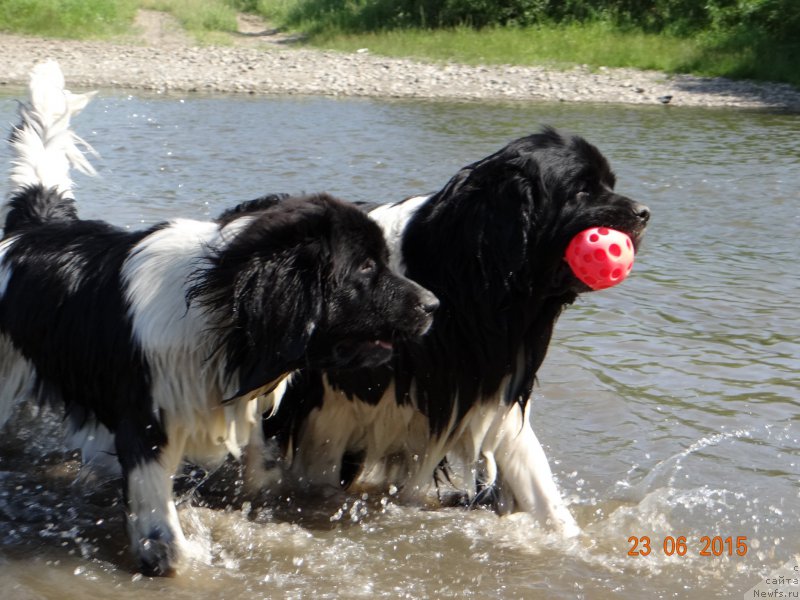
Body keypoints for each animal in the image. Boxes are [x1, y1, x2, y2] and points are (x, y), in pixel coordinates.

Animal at [0, 62, 438, 576]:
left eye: (385, 261)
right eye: (367, 268)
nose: (433, 304)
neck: (219, 303)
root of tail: (29, 231)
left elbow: (259, 472)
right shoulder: (146, 420)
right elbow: (160, 524)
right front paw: (169, 559)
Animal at [247, 125, 652, 536]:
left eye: (609, 183)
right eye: (581, 189)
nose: (644, 213)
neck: (463, 283)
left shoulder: (490, 394)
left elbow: (541, 490)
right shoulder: (328, 417)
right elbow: (320, 489)